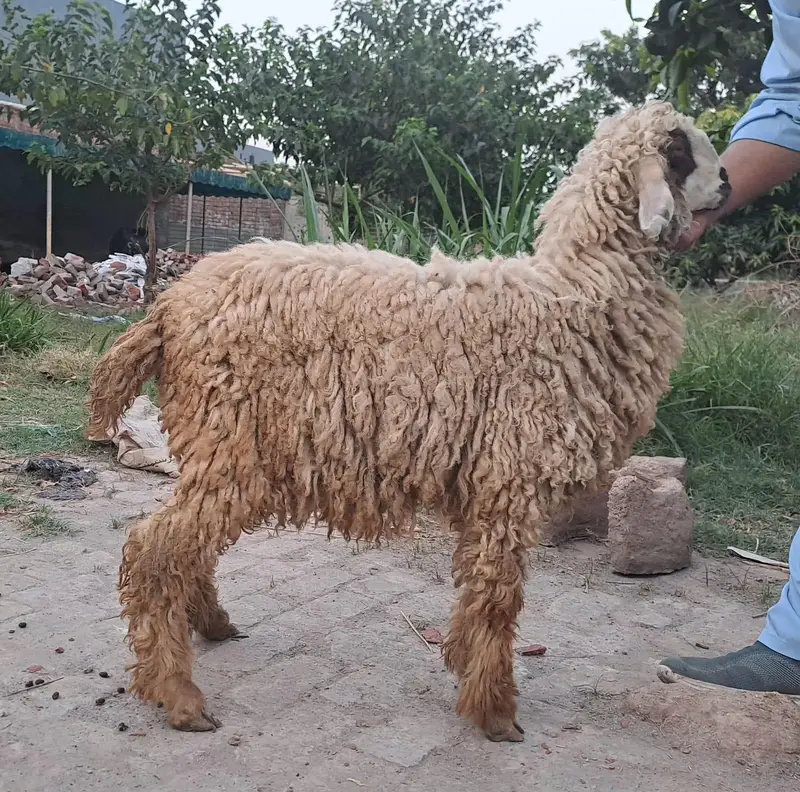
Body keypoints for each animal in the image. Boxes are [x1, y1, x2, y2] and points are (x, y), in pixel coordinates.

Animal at [88, 101, 730, 743]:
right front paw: (496, 712)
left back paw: (212, 626)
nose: (727, 184)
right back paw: (178, 694)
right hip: (228, 440)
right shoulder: (511, 478)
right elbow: (499, 596)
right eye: (680, 152)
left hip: (221, 447)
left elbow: (477, 586)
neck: (576, 294)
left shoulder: (485, 485)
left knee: (186, 546)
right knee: (155, 548)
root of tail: (168, 309)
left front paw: (465, 667)